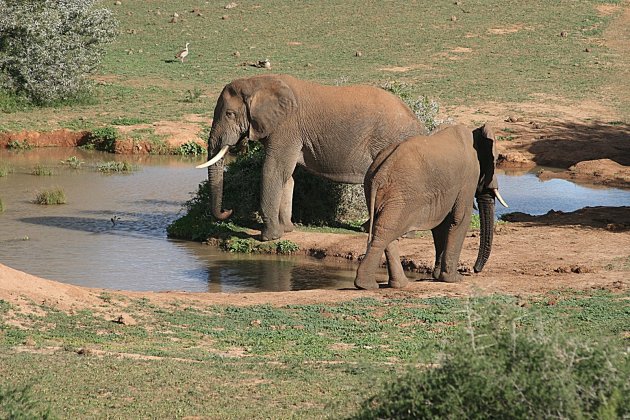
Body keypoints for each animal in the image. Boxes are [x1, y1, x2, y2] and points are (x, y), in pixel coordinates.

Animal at [196, 74, 430, 241]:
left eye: (229, 114)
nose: (228, 211)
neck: (259, 82)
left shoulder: (287, 126)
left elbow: (273, 170)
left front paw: (268, 238)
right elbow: (287, 176)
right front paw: (287, 230)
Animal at [356, 123, 508, 290]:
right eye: (495, 162)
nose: (474, 270)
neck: (474, 132)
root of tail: (380, 173)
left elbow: (441, 225)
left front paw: (437, 276)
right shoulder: (469, 177)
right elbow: (460, 219)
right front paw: (454, 279)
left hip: (376, 189)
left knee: (386, 230)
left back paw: (399, 284)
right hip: (402, 195)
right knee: (386, 231)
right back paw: (366, 285)